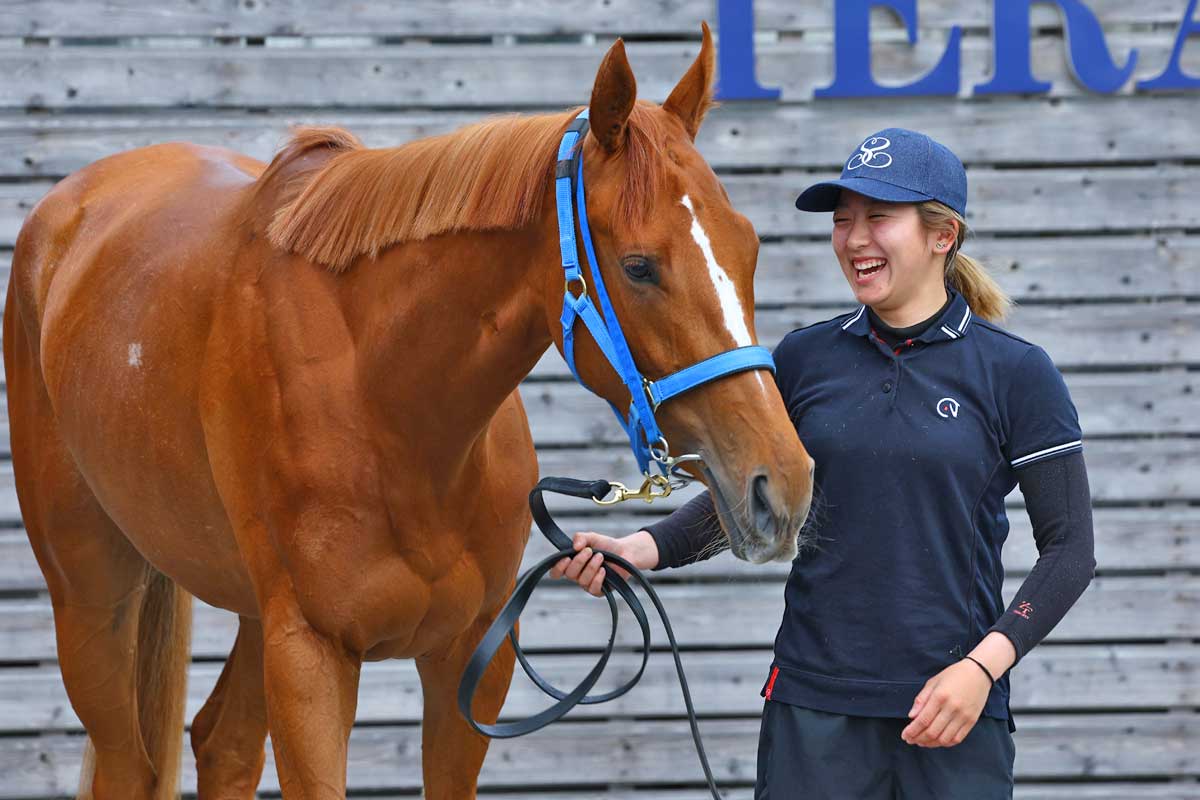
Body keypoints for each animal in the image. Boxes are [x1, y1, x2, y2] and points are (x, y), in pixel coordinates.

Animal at [4, 24, 814, 799]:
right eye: (639, 267)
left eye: (749, 249)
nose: (783, 483)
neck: (389, 409)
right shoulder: (312, 659)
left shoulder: (470, 658)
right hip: (94, 598)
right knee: (126, 763)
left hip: (252, 617)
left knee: (222, 746)